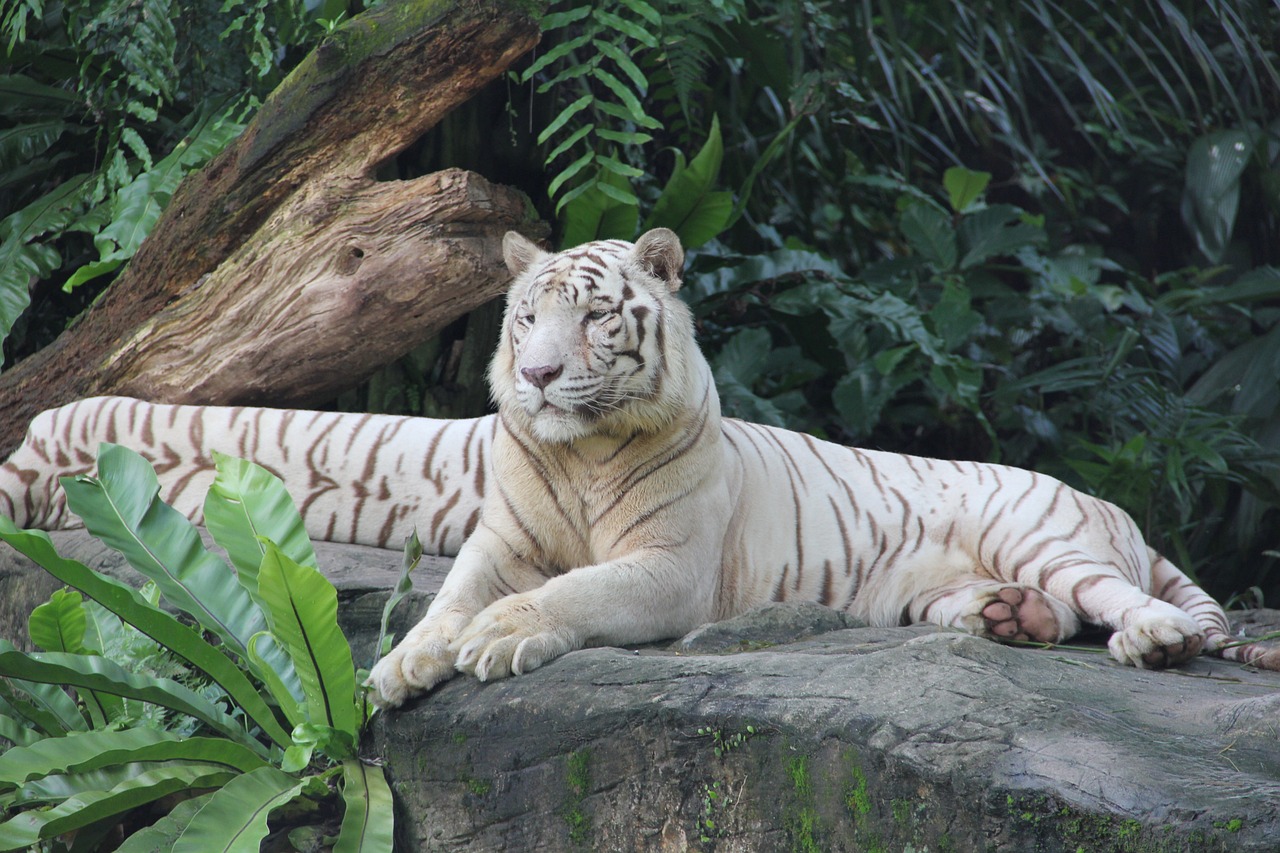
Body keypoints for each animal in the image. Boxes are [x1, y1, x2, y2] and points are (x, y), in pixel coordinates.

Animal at [0, 227, 1274, 701]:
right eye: (525, 317)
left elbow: (566, 595)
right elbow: (440, 606)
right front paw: (399, 668)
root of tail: (1113, 507)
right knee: (1043, 612)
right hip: (943, 583)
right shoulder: (490, 541)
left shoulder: (663, 568)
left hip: (1044, 530)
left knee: (1129, 604)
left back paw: (1150, 641)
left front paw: (493, 643)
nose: (538, 376)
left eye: (596, 316)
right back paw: (1006, 622)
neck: (570, 457)